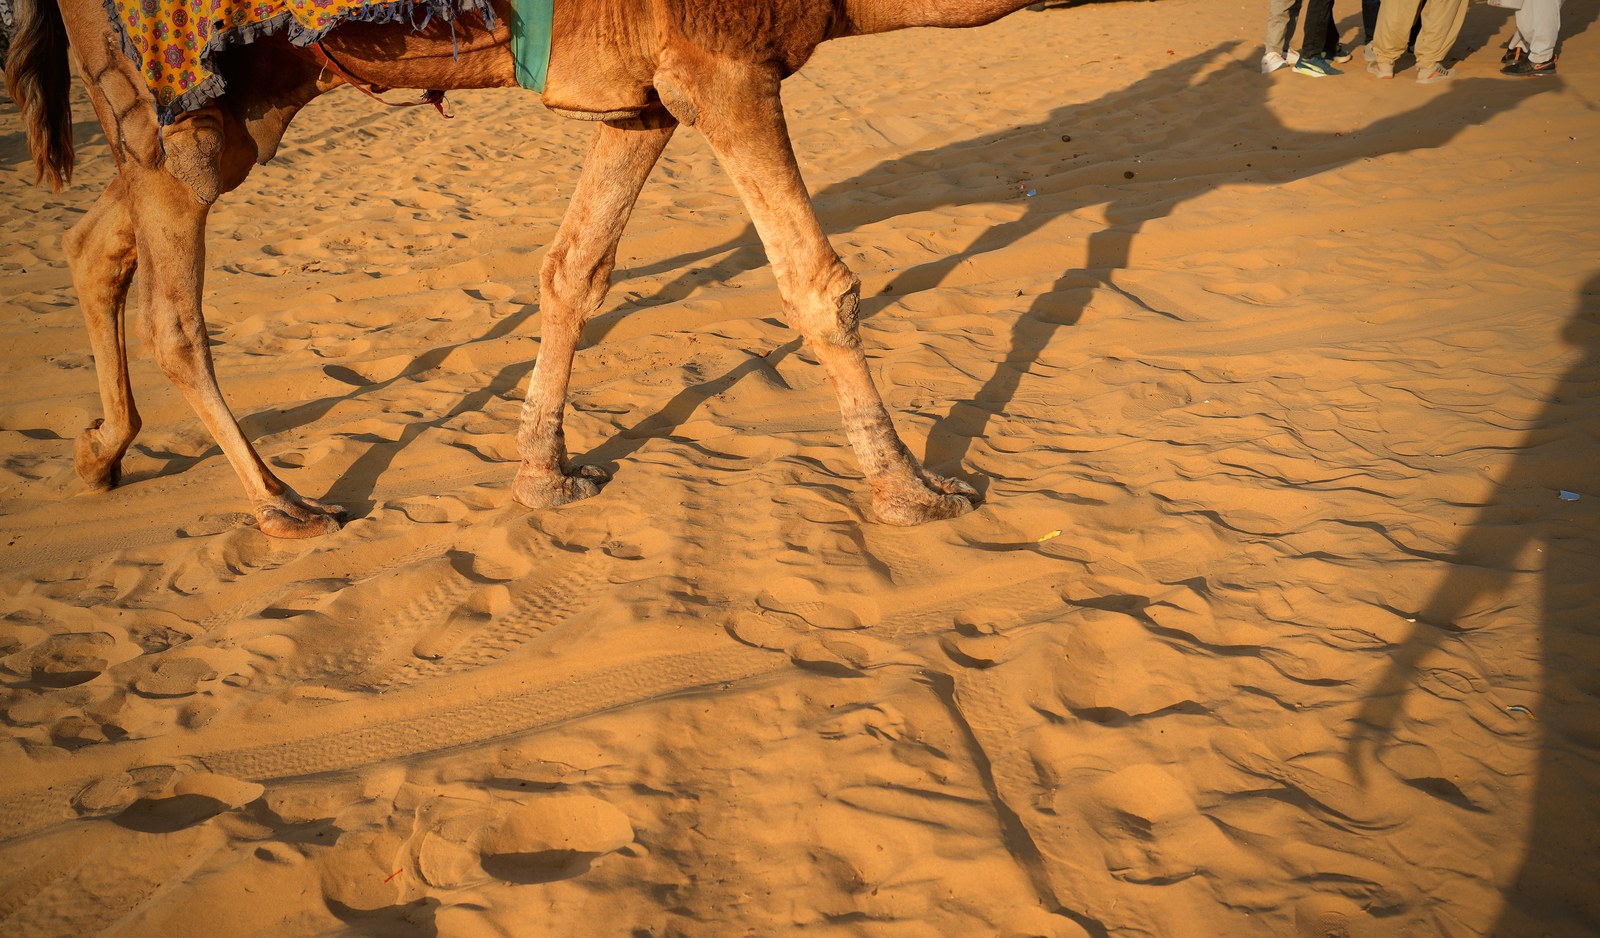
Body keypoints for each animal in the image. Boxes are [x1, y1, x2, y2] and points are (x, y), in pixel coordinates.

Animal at [5, 0, 1039, 538]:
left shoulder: (645, 93)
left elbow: (574, 269)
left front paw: (546, 475)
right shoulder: (724, 62)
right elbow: (817, 283)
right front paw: (915, 490)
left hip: (245, 100)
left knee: (93, 244)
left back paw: (100, 453)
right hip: (177, 87)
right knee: (174, 318)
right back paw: (286, 505)